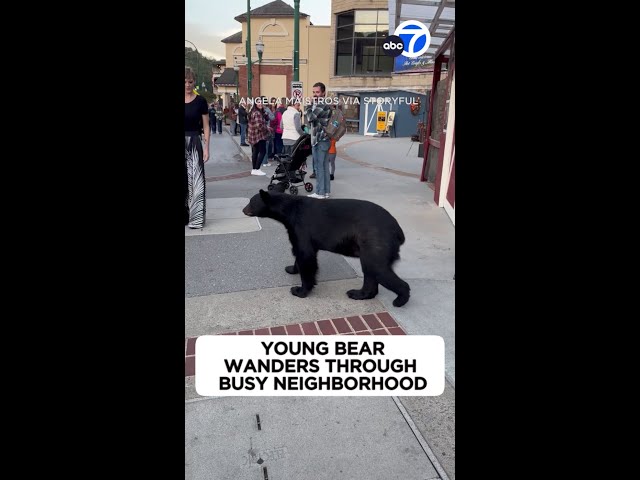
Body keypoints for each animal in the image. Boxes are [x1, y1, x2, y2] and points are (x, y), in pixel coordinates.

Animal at [240, 189, 410, 306]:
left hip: (375, 241)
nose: (243, 209)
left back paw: (400, 299)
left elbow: (305, 255)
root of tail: (398, 230)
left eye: (251, 202)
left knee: (377, 269)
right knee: (371, 272)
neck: (288, 211)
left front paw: (300, 290)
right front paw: (292, 268)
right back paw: (358, 294)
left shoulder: (302, 226)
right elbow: (300, 251)